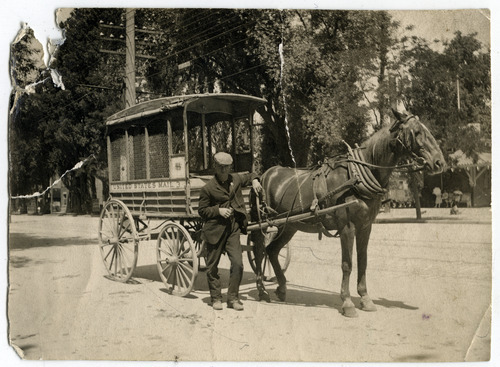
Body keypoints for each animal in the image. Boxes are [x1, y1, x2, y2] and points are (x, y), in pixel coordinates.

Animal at [250, 110, 446, 320]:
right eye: (416, 132)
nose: (439, 162)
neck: (356, 177)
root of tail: (263, 175)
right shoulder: (347, 227)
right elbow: (347, 264)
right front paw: (347, 302)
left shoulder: (365, 227)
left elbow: (363, 262)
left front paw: (365, 299)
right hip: (262, 224)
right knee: (259, 251)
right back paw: (262, 290)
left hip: (288, 226)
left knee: (272, 250)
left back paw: (281, 287)